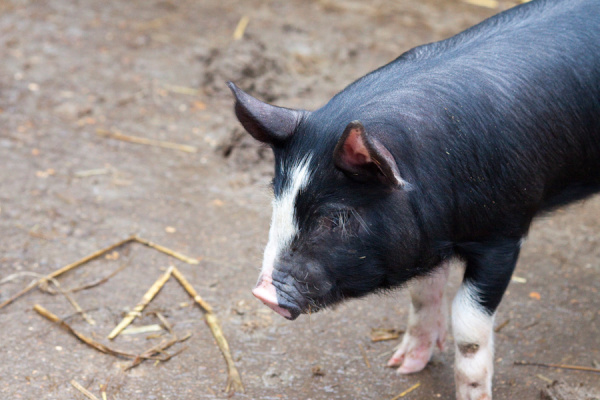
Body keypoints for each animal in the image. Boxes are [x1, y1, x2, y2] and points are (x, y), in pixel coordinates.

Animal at [227, 1, 596, 398]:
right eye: (277, 199)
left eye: (337, 217)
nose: (262, 292)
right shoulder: (426, 237)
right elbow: (422, 294)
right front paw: (403, 366)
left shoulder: (505, 232)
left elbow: (467, 325)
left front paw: (471, 392)